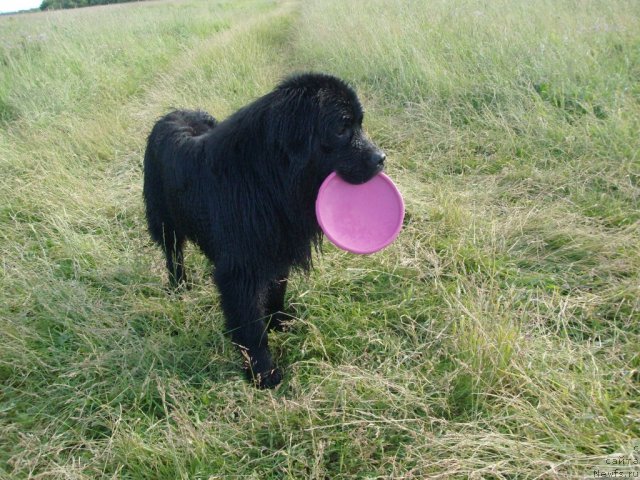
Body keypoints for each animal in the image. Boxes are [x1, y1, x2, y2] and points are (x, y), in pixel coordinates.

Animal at [144, 71, 384, 388]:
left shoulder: (278, 247)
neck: (268, 179)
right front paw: (263, 373)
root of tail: (171, 114)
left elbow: (276, 290)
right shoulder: (239, 272)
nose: (382, 158)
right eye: (342, 128)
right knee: (173, 253)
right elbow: (250, 326)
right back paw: (178, 285)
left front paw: (280, 323)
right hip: (163, 219)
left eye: (360, 124)